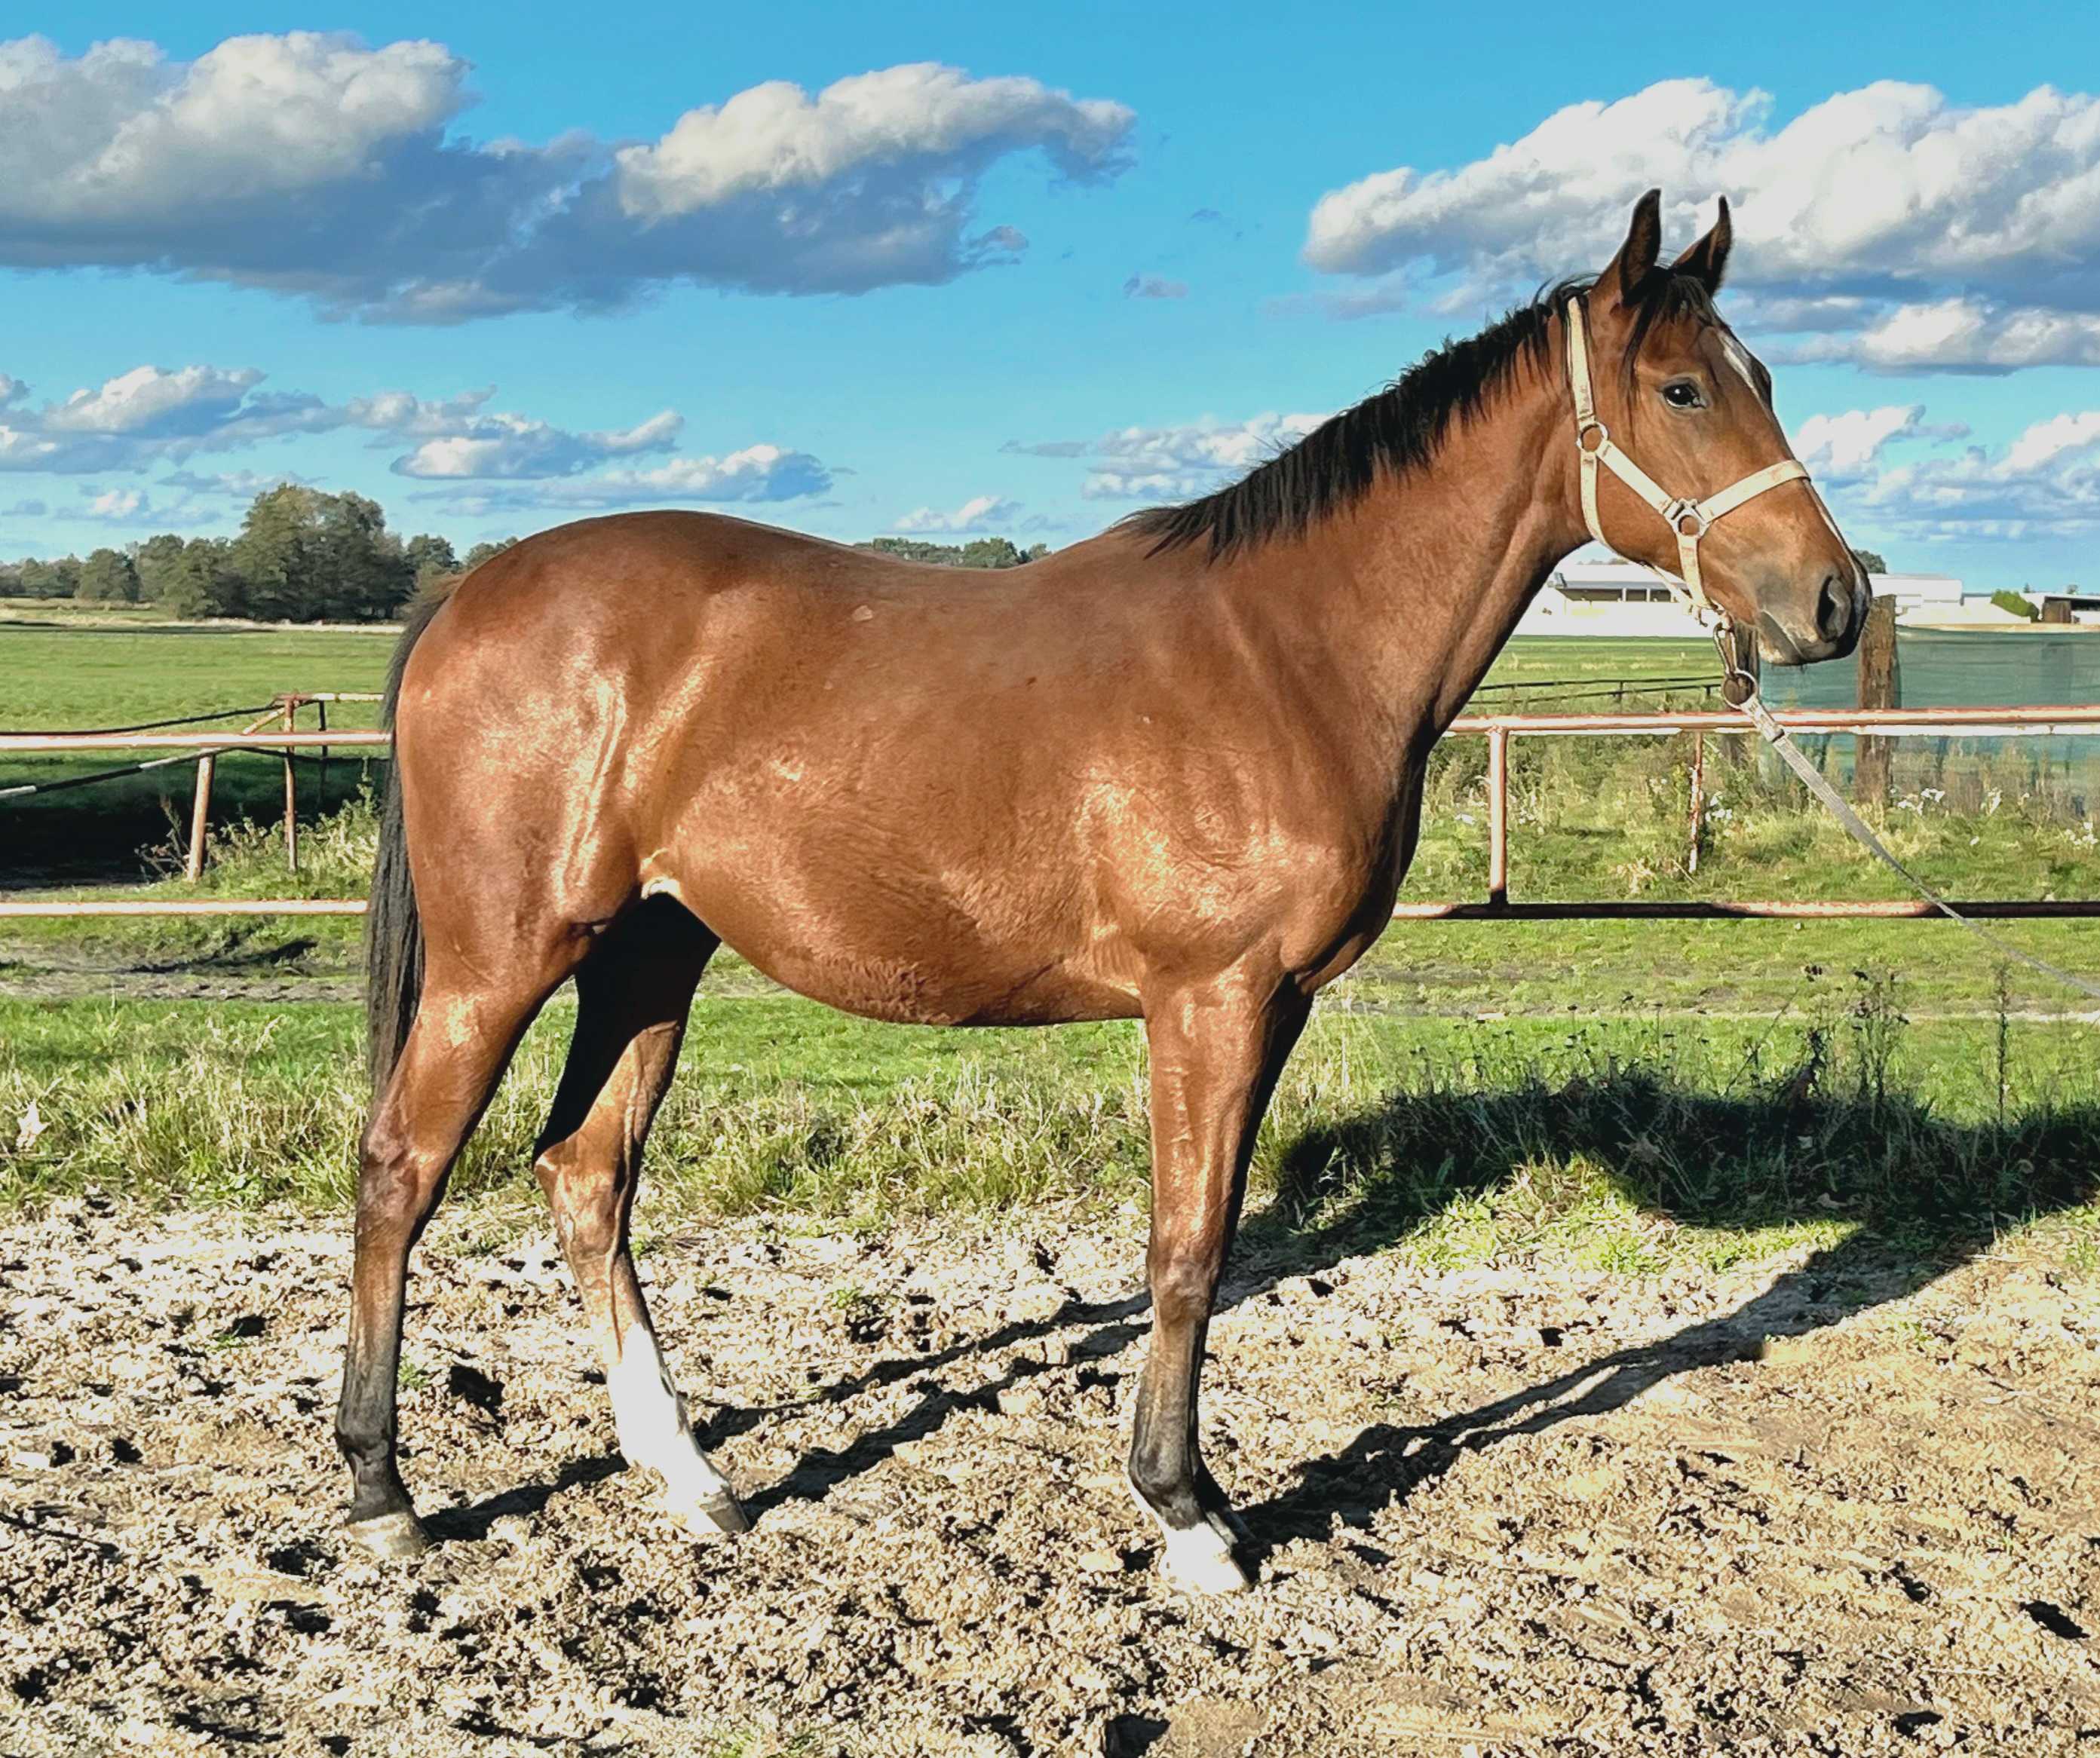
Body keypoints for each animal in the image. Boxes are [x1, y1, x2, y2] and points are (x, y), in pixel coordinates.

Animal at [336, 190, 1867, 1593]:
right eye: (1680, 388)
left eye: (1763, 378)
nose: (1837, 601)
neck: (1289, 651)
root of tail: (473, 594)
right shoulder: (1209, 1001)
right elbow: (1184, 1250)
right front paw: (1187, 1513)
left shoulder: (1273, 1008)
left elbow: (1214, 1239)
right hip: (504, 959)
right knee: (402, 1170)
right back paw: (382, 1488)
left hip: (651, 954)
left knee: (586, 1176)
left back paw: (692, 1479)